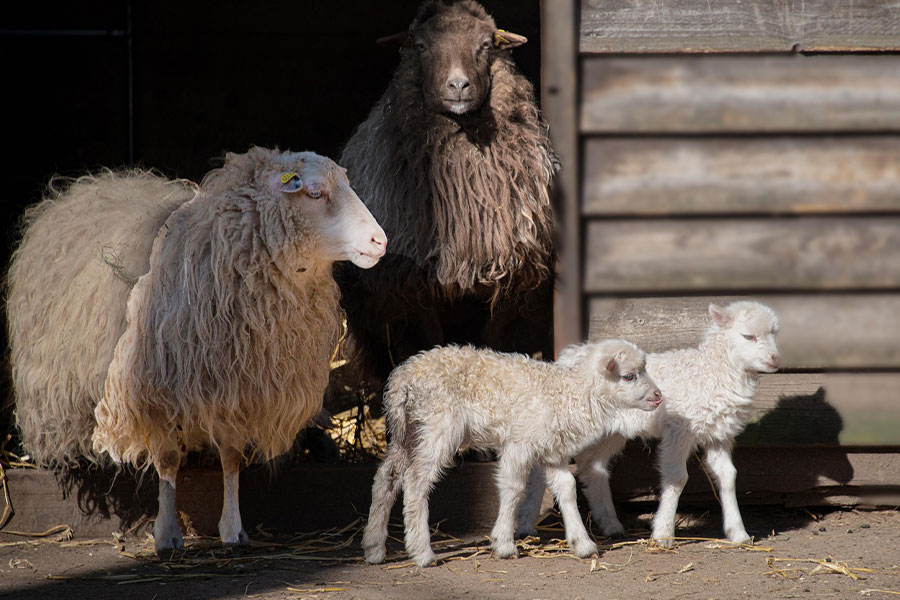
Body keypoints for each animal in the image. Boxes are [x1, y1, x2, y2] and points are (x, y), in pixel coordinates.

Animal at [338, 0, 558, 384]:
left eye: (485, 44)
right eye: (421, 45)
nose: (458, 84)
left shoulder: (511, 276)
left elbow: (496, 341)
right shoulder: (412, 285)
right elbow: (427, 341)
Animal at [362, 340, 663, 567]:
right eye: (629, 376)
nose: (658, 396)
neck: (565, 394)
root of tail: (402, 378)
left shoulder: (551, 450)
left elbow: (567, 488)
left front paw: (583, 543)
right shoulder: (519, 443)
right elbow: (514, 489)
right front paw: (504, 543)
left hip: (408, 431)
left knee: (386, 477)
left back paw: (374, 547)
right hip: (438, 425)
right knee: (416, 482)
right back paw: (423, 553)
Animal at [517, 301, 781, 547]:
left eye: (774, 333)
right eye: (748, 336)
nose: (775, 359)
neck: (712, 371)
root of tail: (568, 356)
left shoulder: (719, 432)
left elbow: (728, 476)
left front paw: (738, 532)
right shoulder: (679, 429)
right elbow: (677, 478)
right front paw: (663, 533)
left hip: (610, 432)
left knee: (592, 466)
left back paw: (610, 524)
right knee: (543, 469)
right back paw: (526, 525)